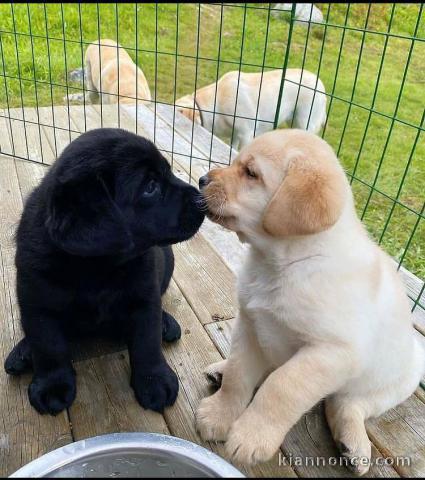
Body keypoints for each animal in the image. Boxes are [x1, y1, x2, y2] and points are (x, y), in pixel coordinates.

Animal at [4, 128, 204, 416]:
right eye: (150, 187)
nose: (203, 199)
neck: (97, 267)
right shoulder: (37, 303)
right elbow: (48, 345)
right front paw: (52, 385)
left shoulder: (144, 295)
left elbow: (147, 341)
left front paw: (154, 380)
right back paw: (23, 352)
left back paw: (166, 322)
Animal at [196, 128, 424, 476]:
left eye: (251, 173)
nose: (201, 180)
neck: (284, 263)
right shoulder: (249, 324)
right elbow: (238, 373)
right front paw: (219, 414)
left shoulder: (331, 352)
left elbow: (281, 386)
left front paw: (251, 436)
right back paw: (219, 371)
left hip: (397, 379)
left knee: (346, 403)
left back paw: (352, 444)